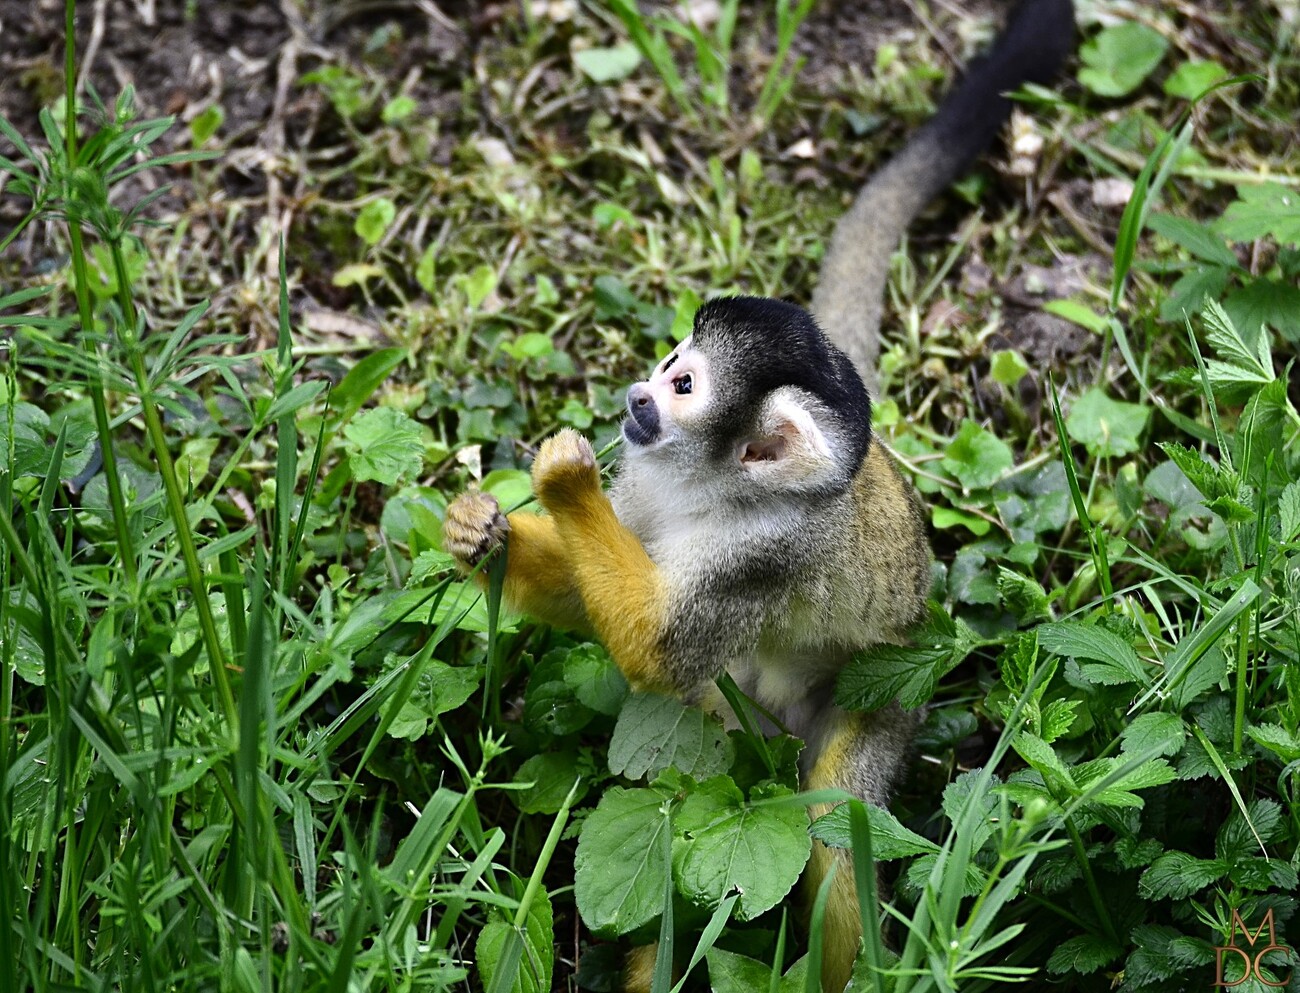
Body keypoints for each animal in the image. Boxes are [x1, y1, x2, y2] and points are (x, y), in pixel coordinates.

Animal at [441, 3, 1071, 987]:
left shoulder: (766, 552)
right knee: (695, 773)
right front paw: (483, 530)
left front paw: (563, 478)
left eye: (684, 385)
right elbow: (606, 612)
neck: (713, 488)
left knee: (834, 820)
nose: (637, 398)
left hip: (884, 701)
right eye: (670, 361)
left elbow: (659, 652)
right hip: (736, 731)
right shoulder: (647, 471)